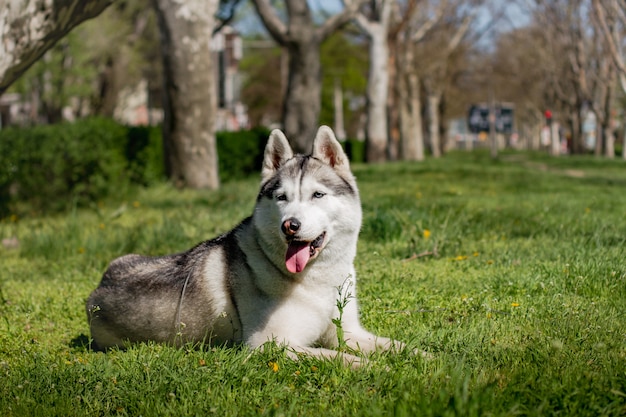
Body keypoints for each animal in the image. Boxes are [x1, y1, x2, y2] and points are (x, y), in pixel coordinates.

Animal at [85, 124, 402, 364]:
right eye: (282, 198)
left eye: (318, 195)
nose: (290, 226)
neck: (318, 280)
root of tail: (98, 286)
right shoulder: (270, 343)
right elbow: (339, 357)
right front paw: (377, 368)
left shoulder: (348, 333)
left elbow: (395, 345)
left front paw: (412, 360)